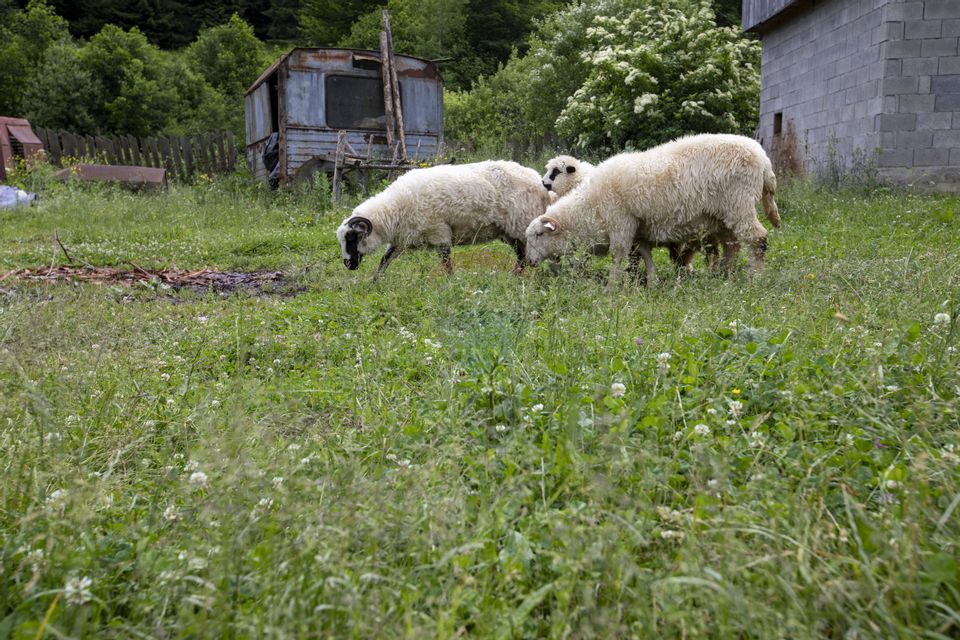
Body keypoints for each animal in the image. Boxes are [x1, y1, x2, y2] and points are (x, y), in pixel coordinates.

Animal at [524, 133, 780, 284]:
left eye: (539, 235)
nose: (528, 262)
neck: (590, 206)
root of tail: (763, 159)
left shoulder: (621, 222)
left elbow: (618, 255)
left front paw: (613, 285)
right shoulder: (639, 230)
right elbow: (645, 254)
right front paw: (652, 280)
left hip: (739, 203)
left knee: (757, 239)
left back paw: (754, 277)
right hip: (723, 216)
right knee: (732, 245)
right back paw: (722, 275)